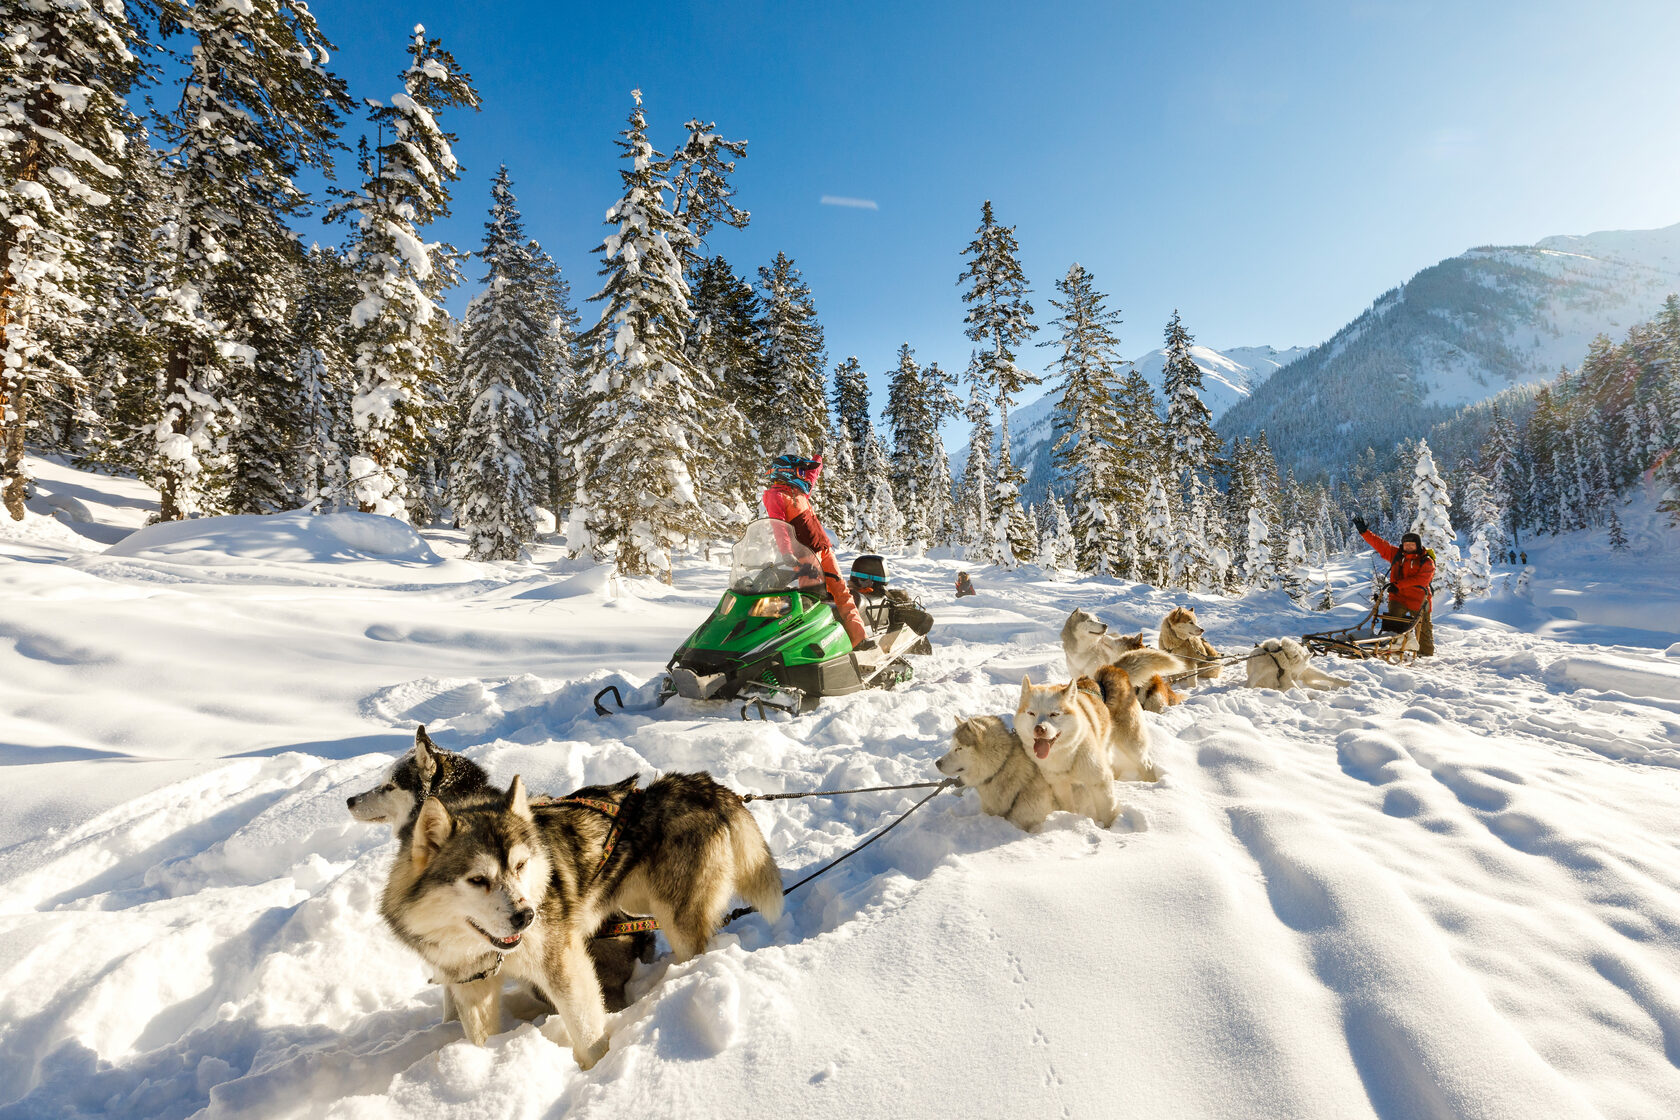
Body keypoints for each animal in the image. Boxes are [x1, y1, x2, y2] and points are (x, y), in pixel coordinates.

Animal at [381, 772, 779, 1061]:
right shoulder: (470, 984)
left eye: (520, 866)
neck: (487, 948)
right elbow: (482, 1036)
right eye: (477, 879)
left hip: (678, 921)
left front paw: (597, 1073)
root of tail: (702, 784)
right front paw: (487, 1062)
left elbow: (587, 1032)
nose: (527, 916)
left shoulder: (563, 964)